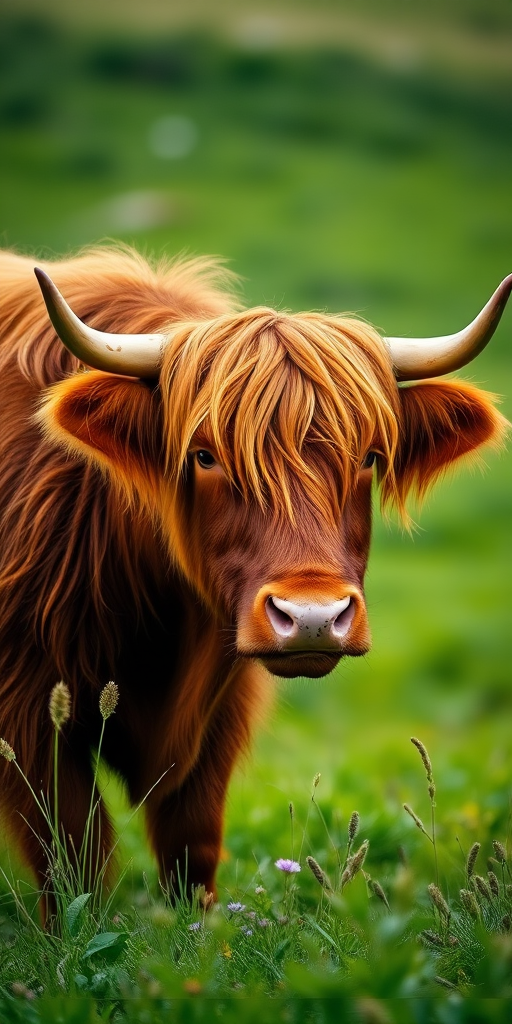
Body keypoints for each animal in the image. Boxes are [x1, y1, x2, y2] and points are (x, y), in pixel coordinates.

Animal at [0, 246, 509, 911]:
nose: (314, 617)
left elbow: (191, 854)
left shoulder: (217, 723)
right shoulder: (30, 717)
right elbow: (71, 860)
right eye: (204, 456)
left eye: (370, 457)